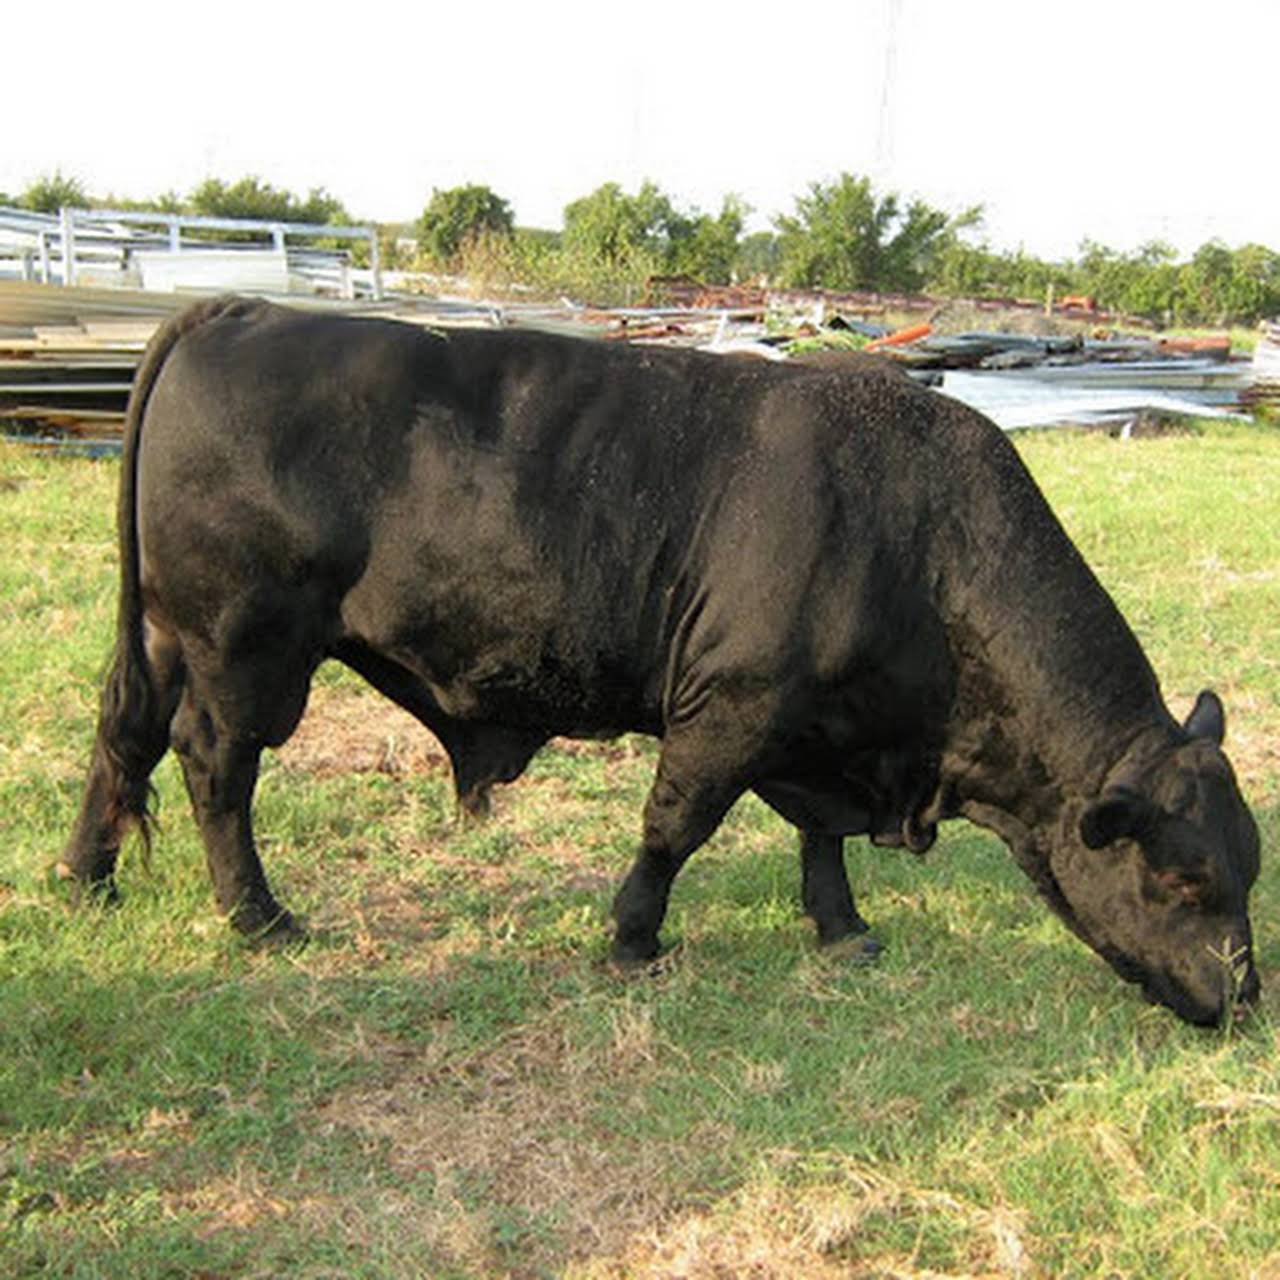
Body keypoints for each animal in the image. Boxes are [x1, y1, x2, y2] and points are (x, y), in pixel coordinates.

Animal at [58, 296, 1261, 1026]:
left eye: (1248, 869)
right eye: (1181, 878)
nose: (1245, 1000)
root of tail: (236, 309)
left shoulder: (814, 729)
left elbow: (818, 839)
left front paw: (841, 931)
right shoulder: (731, 705)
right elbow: (675, 823)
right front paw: (633, 939)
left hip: (167, 636)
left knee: (123, 735)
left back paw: (87, 878)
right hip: (245, 647)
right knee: (215, 764)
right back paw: (258, 916)